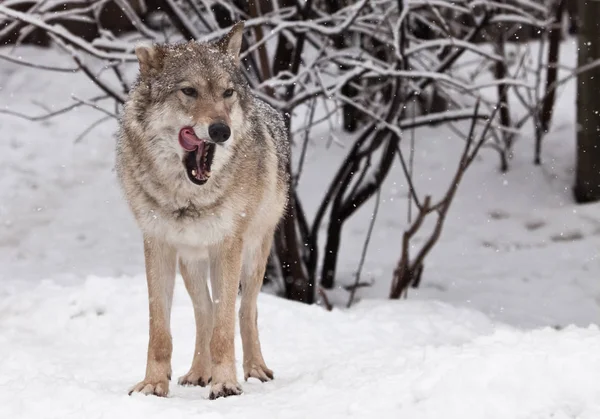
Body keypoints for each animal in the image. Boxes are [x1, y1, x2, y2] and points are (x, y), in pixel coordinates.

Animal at [115, 22, 290, 400]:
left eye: (227, 93)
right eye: (189, 91)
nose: (221, 130)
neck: (187, 198)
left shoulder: (227, 246)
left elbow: (225, 328)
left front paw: (225, 383)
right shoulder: (158, 245)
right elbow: (160, 329)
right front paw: (153, 383)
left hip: (253, 253)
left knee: (244, 310)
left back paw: (254, 369)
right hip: (192, 262)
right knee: (205, 311)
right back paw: (198, 372)